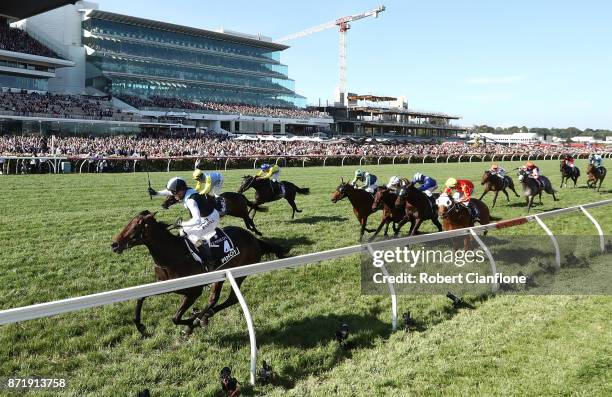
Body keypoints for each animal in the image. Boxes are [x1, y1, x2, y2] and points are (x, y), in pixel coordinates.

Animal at [110, 210, 286, 334]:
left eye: (136, 226)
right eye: (129, 222)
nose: (114, 244)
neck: (173, 255)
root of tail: (254, 239)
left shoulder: (194, 291)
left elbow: (175, 318)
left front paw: (190, 323)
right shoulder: (164, 285)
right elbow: (140, 297)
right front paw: (140, 325)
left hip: (239, 273)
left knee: (226, 299)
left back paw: (201, 318)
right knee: (216, 299)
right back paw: (203, 316)